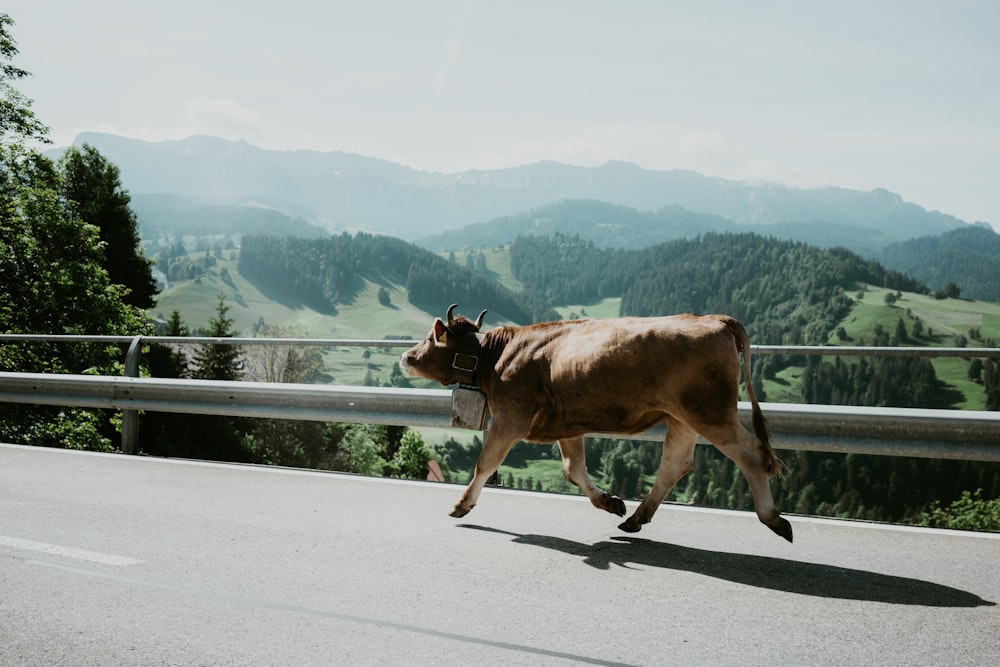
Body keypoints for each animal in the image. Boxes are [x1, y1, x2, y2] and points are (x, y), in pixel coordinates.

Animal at [402, 304, 792, 544]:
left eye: (430, 335)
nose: (406, 356)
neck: (497, 357)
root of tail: (715, 319)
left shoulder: (511, 416)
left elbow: (486, 462)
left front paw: (462, 504)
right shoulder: (567, 425)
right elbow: (573, 469)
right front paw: (610, 501)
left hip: (711, 412)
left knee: (752, 454)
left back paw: (773, 518)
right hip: (683, 416)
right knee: (675, 464)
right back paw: (634, 518)